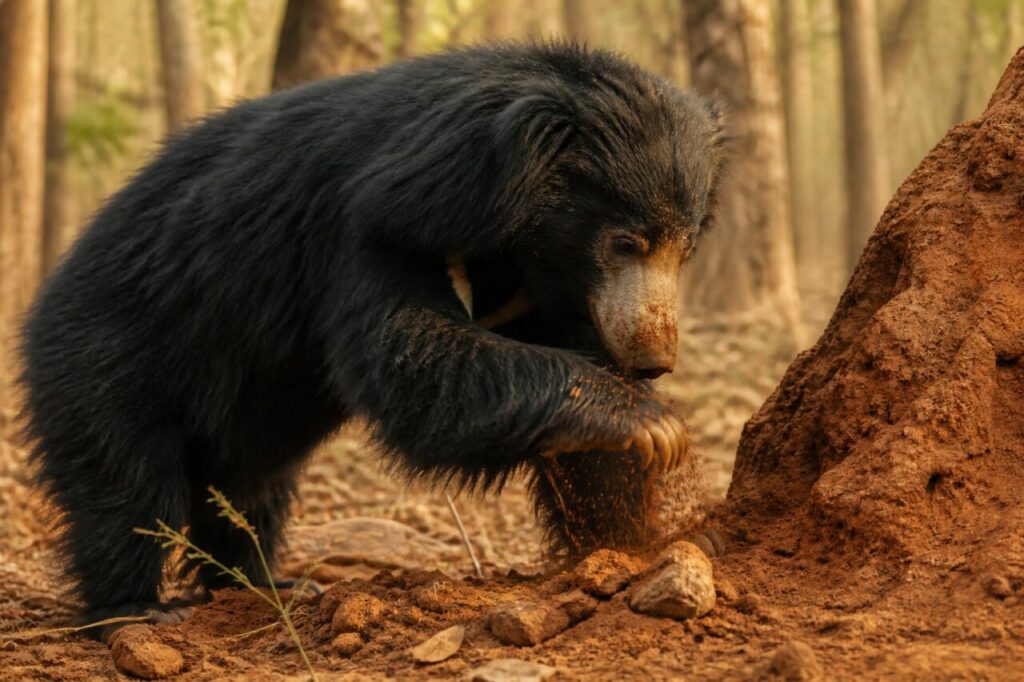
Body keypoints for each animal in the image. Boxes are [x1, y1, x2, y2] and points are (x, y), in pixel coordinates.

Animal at [19, 43, 725, 637]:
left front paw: (633, 526)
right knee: (127, 484)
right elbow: (413, 357)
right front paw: (650, 425)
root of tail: (41, 307)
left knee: (248, 490)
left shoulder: (528, 279)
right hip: (107, 357)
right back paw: (137, 610)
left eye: (685, 248)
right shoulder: (363, 224)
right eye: (625, 242)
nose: (654, 361)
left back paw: (265, 583)